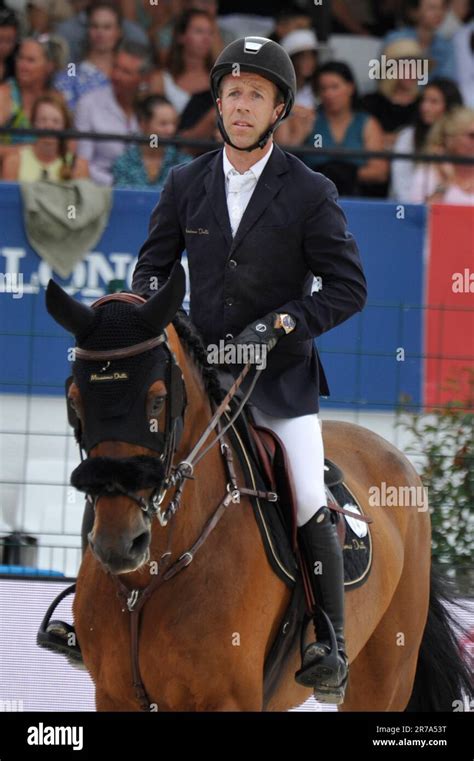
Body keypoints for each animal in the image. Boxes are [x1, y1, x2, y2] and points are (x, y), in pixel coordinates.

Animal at [45, 268, 470, 712]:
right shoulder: (113, 695)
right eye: (75, 402)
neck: (153, 573)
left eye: (158, 400)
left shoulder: (228, 699)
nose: (119, 543)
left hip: (385, 679)